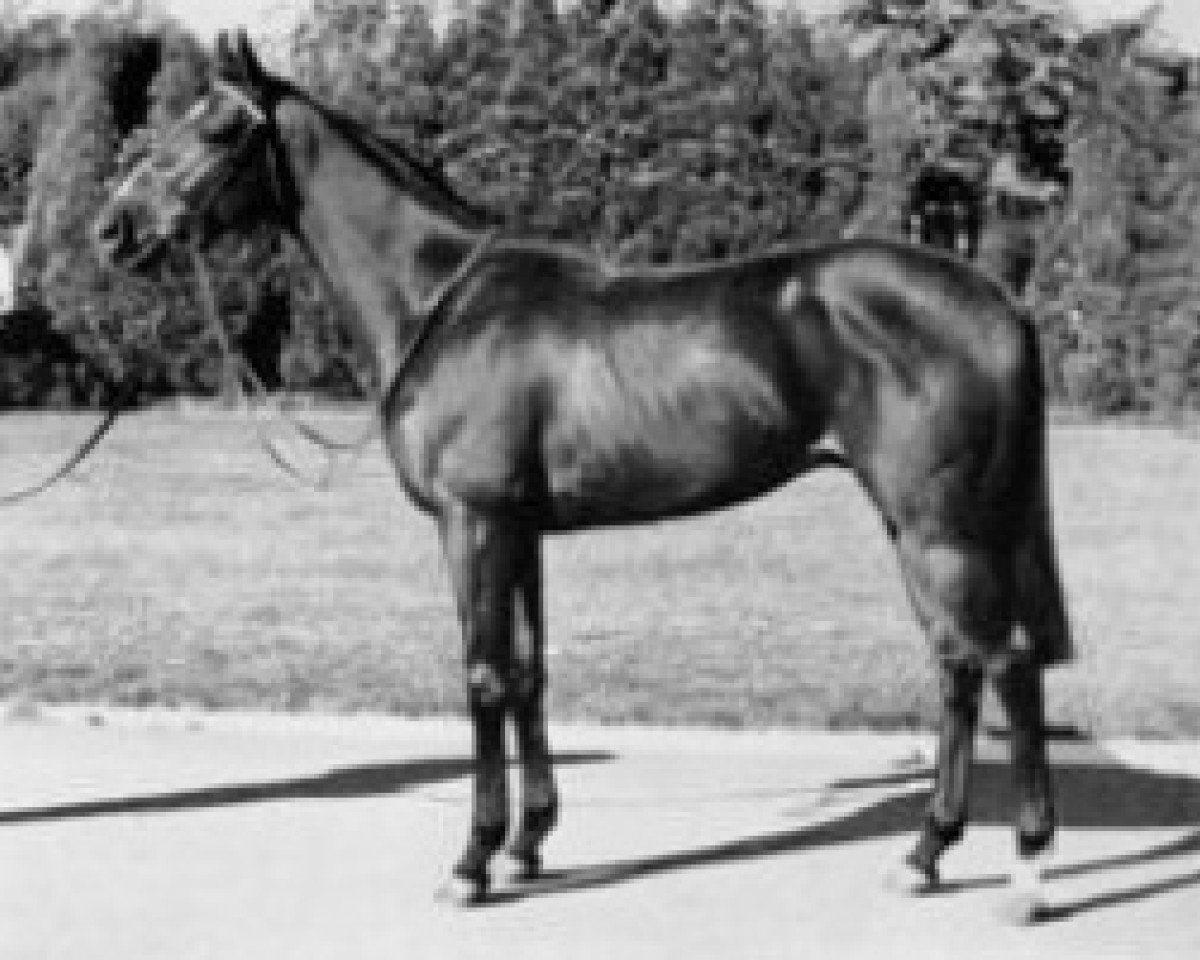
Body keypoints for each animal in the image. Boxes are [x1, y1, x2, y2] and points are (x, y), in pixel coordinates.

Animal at [94, 32, 1072, 919]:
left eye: (218, 126)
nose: (114, 229)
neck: (442, 300)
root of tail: (1000, 302)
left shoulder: (474, 521)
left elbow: (484, 677)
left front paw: (473, 862)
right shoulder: (519, 530)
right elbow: (530, 673)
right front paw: (528, 844)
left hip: (944, 529)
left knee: (1006, 663)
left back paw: (1027, 871)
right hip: (921, 528)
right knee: (959, 667)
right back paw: (926, 854)